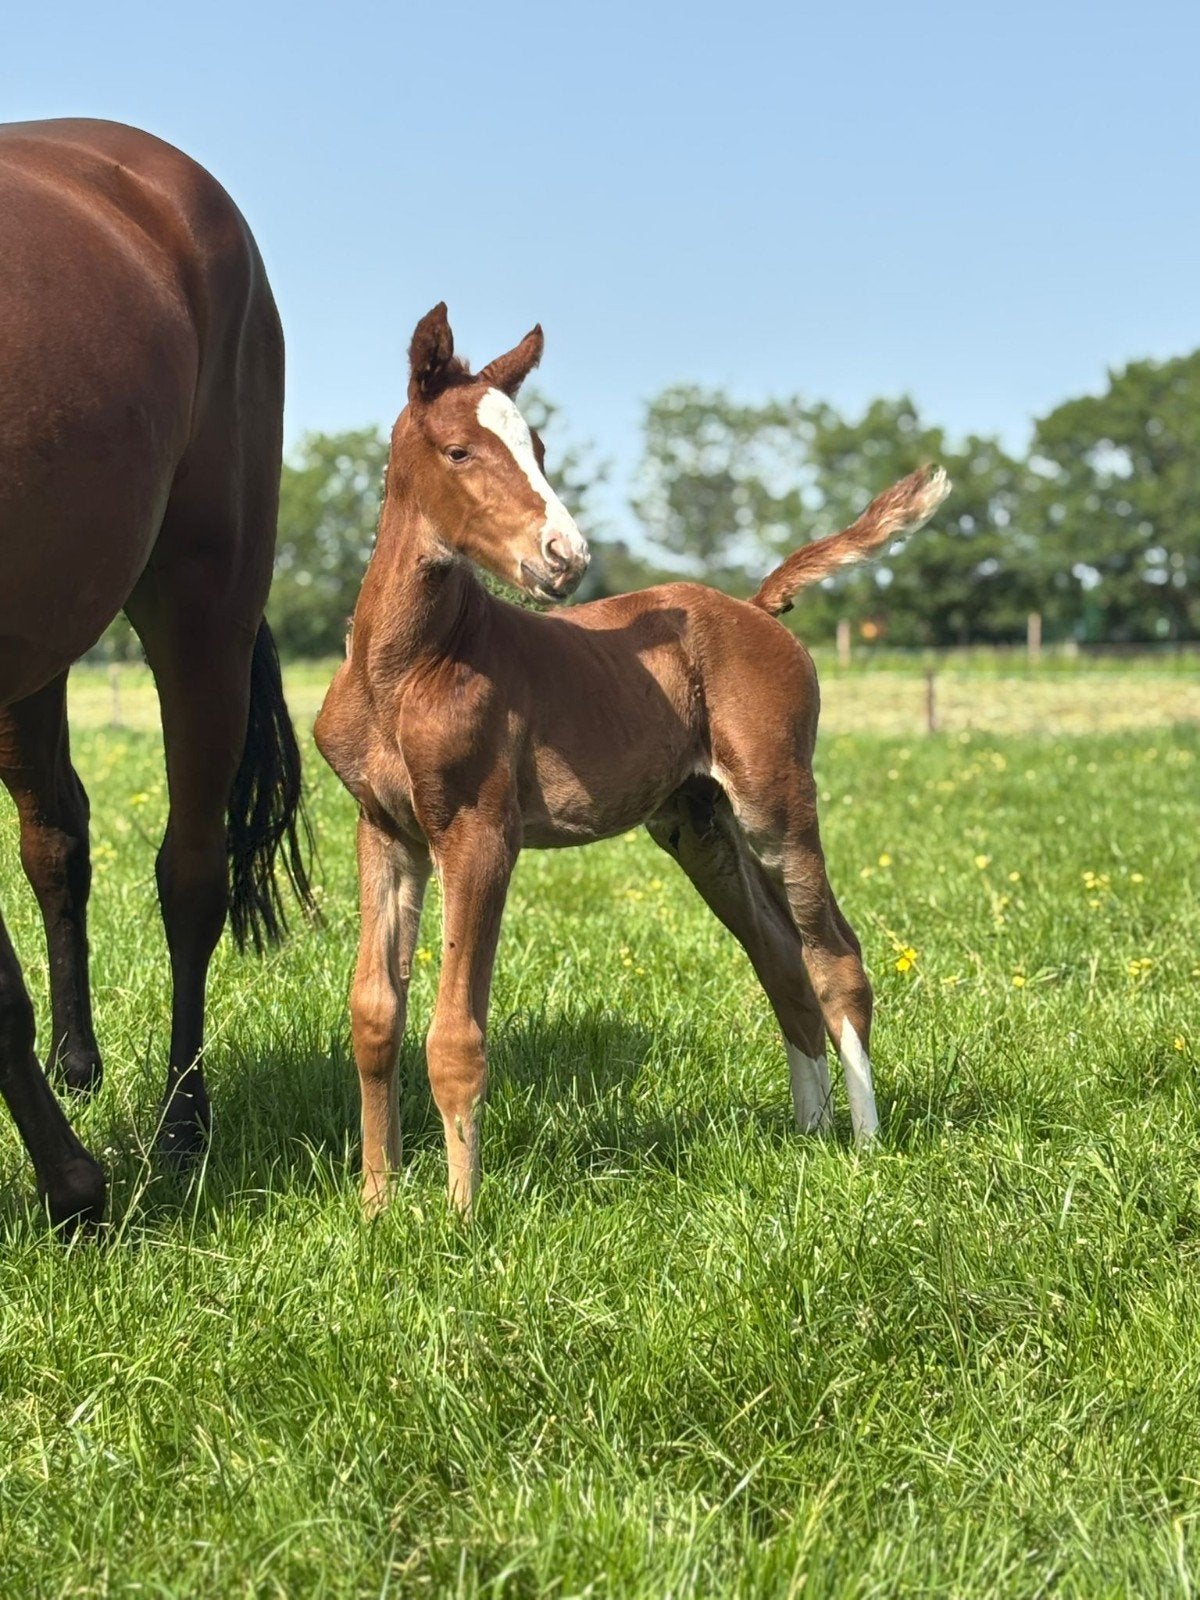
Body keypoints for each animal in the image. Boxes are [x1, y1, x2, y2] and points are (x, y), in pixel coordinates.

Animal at [0, 119, 313, 1227]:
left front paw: (75, 1190)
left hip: (202, 606)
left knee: (191, 876)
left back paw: (183, 1123)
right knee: (57, 835)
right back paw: (77, 1062)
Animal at [314, 302, 950, 1215]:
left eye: (541, 448)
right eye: (460, 451)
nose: (565, 556)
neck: (407, 665)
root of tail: (757, 610)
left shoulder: (479, 833)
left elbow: (456, 1034)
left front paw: (461, 1217)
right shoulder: (385, 828)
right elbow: (374, 1015)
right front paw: (376, 1205)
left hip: (774, 805)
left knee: (834, 954)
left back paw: (863, 1147)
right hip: (698, 825)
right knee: (780, 959)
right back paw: (810, 1133)